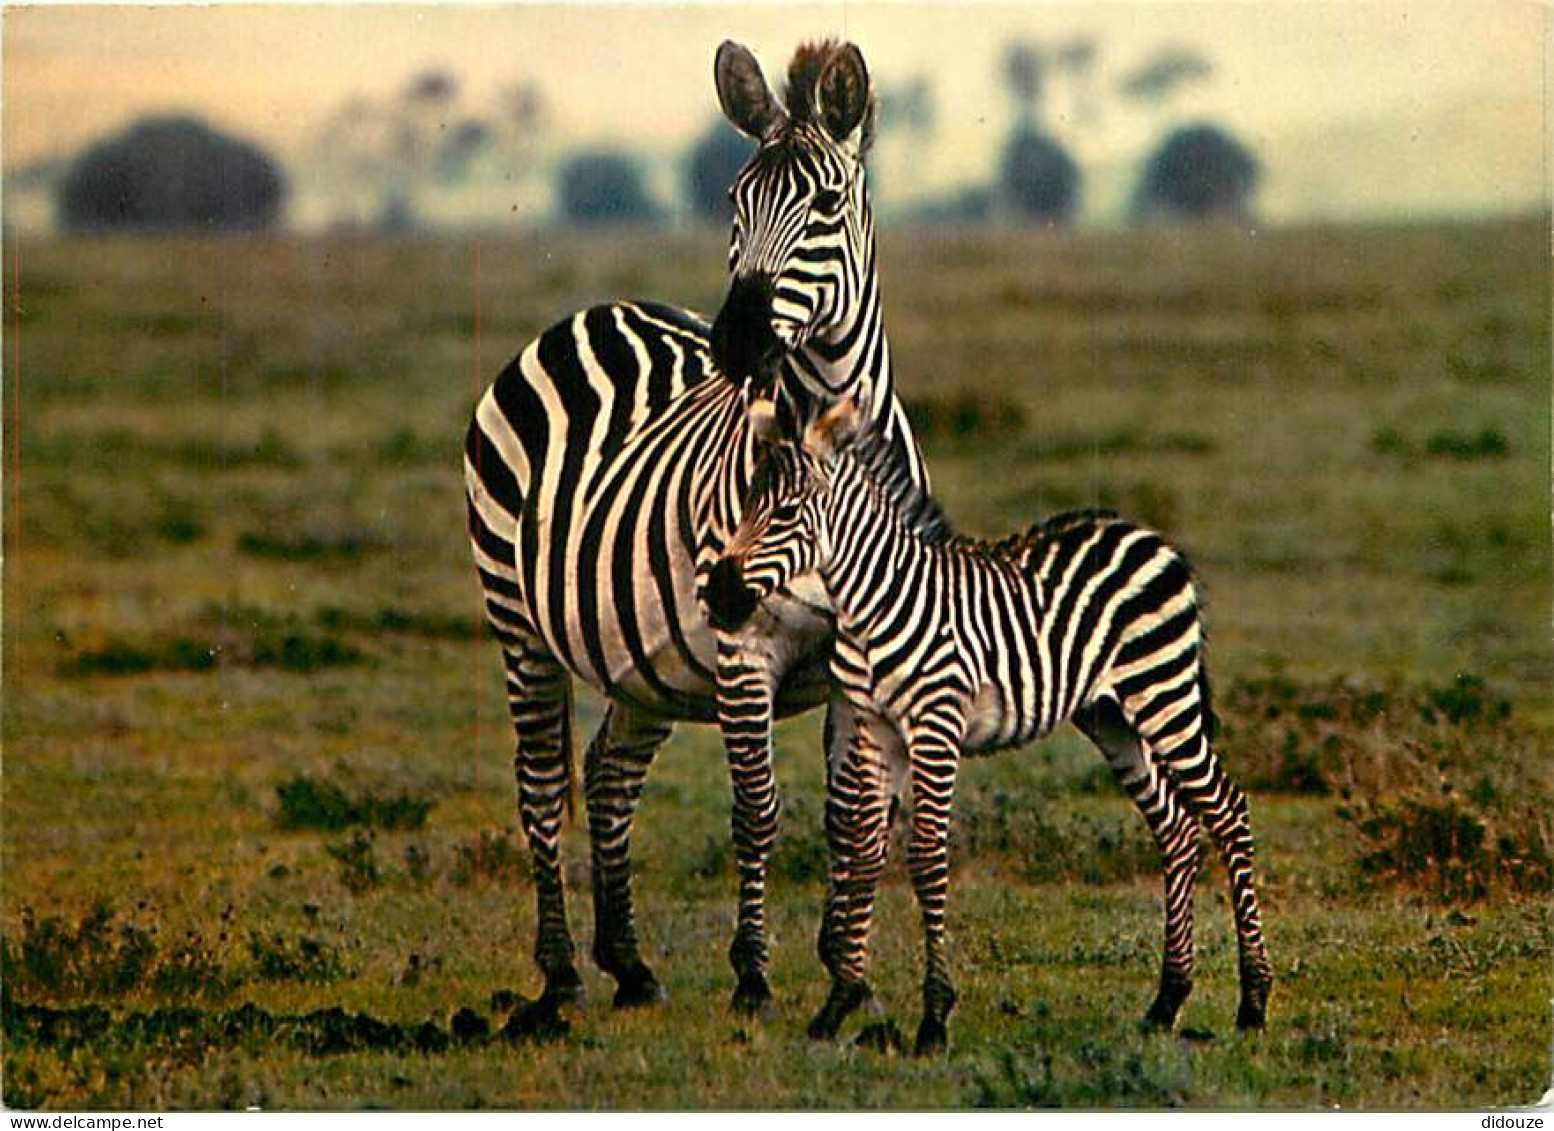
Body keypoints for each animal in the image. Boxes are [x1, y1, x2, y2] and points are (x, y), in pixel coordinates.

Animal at [459, 39, 919, 1019]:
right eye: (736, 203)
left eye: (826, 206)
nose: (735, 343)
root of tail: (598, 309)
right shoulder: (743, 651)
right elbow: (758, 810)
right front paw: (753, 973)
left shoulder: (869, 651)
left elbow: (853, 814)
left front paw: (846, 972)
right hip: (518, 623)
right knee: (541, 784)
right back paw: (559, 973)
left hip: (642, 659)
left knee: (607, 771)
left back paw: (628, 962)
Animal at [708, 400, 1274, 1056]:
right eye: (747, 502)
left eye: (785, 512)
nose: (719, 597)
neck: (872, 604)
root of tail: (1149, 535)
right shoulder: (875, 727)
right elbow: (863, 848)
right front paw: (839, 1003)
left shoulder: (935, 726)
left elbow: (926, 857)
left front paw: (933, 1017)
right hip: (1111, 716)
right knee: (1177, 829)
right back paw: (1166, 1003)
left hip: (1164, 693)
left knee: (1228, 811)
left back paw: (1253, 1002)